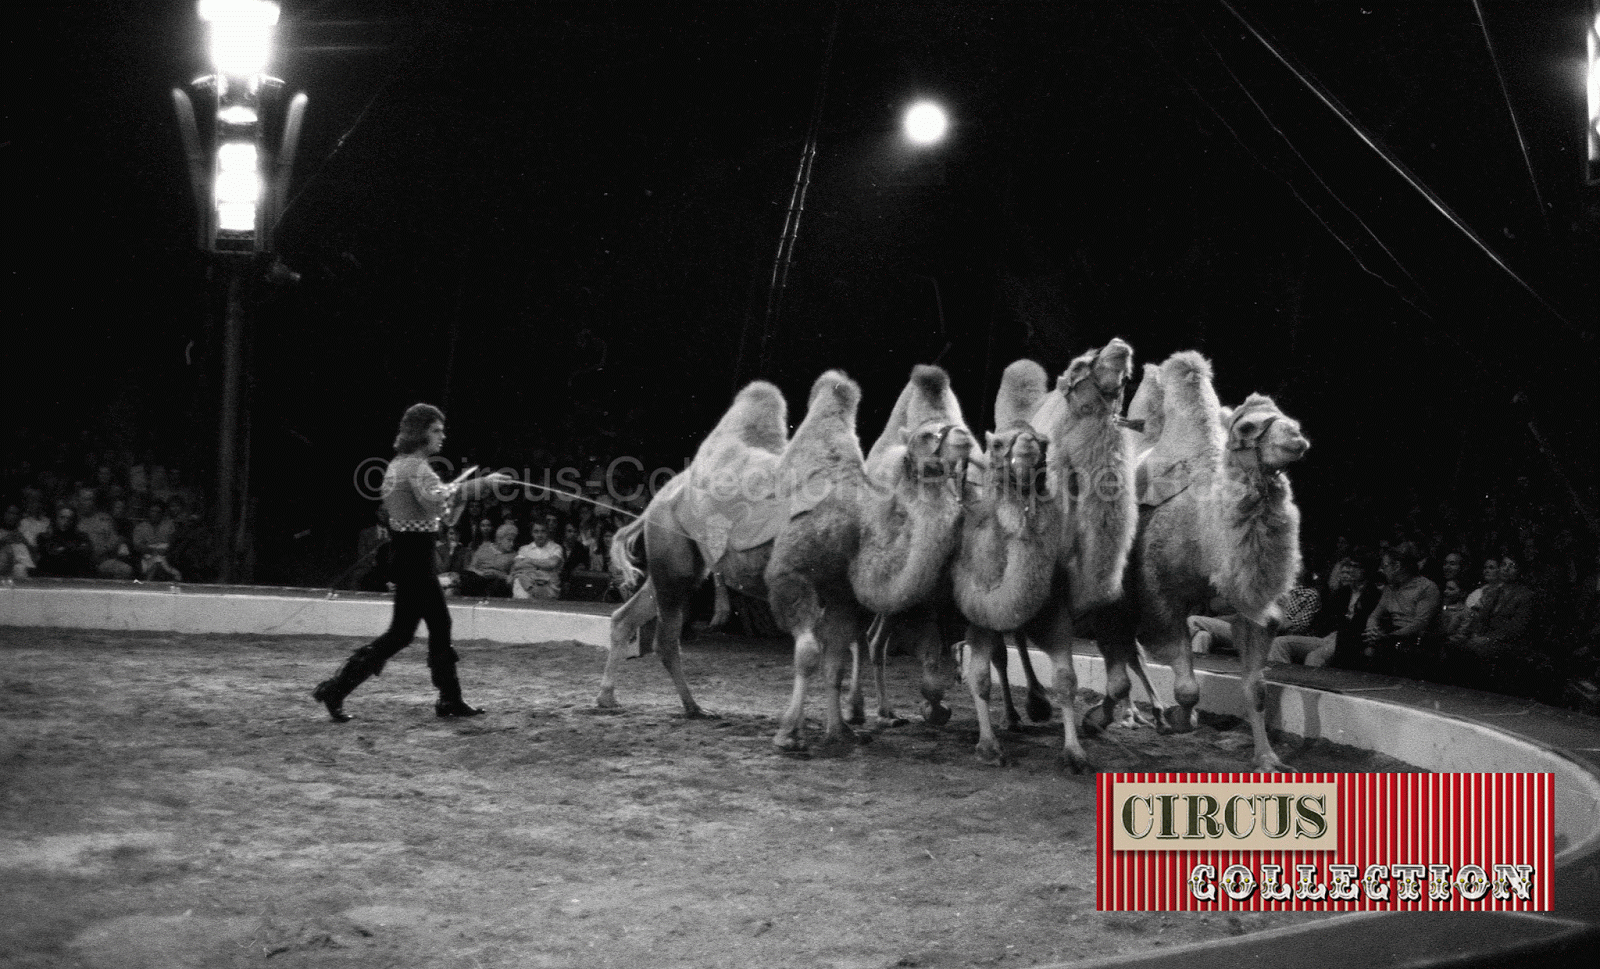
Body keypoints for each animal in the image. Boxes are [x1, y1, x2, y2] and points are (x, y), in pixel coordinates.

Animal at [595, 383, 793, 716]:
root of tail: (655, 502)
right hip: (673, 559)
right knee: (665, 641)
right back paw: (693, 706)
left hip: (668, 566)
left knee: (626, 617)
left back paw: (607, 697)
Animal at [764, 367, 972, 754]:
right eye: (925, 435)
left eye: (961, 425)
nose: (963, 437)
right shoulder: (789, 576)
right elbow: (810, 653)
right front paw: (788, 734)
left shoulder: (848, 595)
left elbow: (836, 663)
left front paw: (839, 732)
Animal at [1088, 354, 1312, 773]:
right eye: (1248, 426)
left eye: (1283, 413)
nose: (1296, 437)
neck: (1206, 532)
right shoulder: (1160, 599)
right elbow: (1188, 687)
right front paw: (1181, 717)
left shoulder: (1251, 608)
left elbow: (1256, 688)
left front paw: (1267, 758)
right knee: (1118, 647)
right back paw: (1113, 716)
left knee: (1126, 652)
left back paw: (1136, 715)